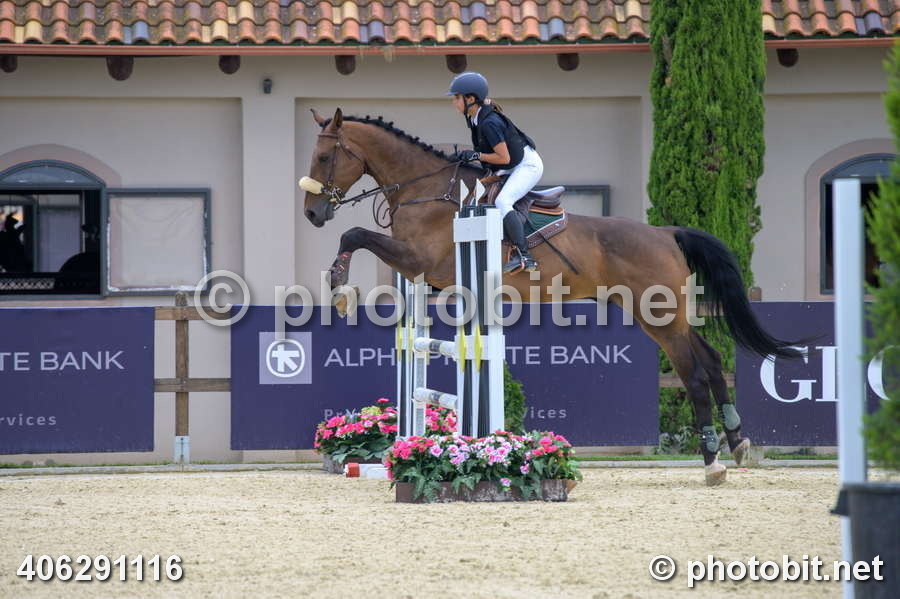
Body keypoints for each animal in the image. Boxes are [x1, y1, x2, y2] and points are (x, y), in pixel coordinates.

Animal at [301, 107, 800, 486]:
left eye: (324, 156)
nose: (312, 213)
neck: (426, 190)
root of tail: (665, 233)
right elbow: (359, 238)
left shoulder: (419, 260)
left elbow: (354, 233)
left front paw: (340, 288)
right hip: (661, 315)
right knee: (712, 361)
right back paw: (738, 444)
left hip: (660, 316)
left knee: (694, 375)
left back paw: (713, 462)